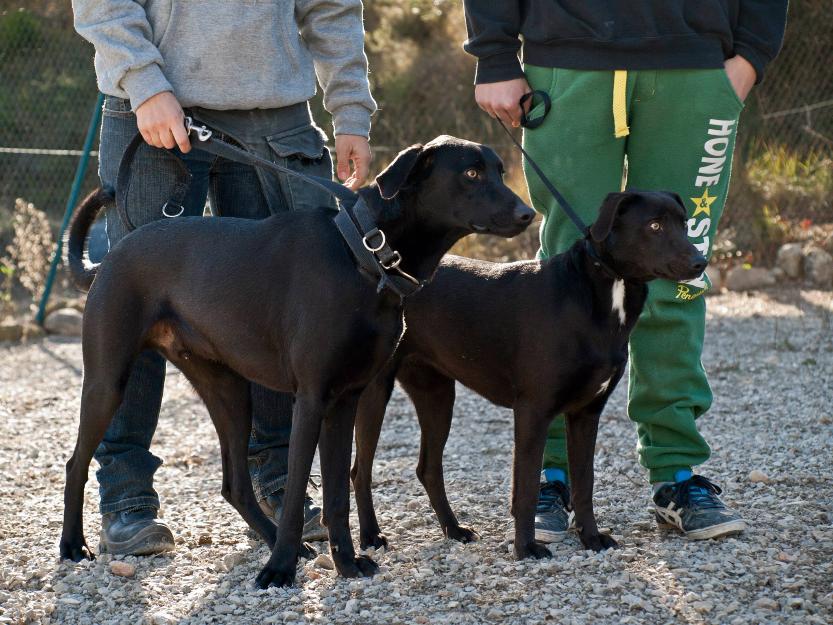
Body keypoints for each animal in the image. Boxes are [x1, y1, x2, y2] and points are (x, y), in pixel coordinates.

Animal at [348, 189, 704, 556]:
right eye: (654, 225)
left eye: (684, 223)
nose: (700, 262)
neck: (602, 289)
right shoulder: (533, 411)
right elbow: (527, 487)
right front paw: (526, 548)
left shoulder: (586, 413)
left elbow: (585, 484)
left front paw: (591, 538)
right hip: (375, 393)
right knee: (360, 471)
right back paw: (371, 536)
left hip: (437, 395)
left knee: (428, 468)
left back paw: (453, 529)